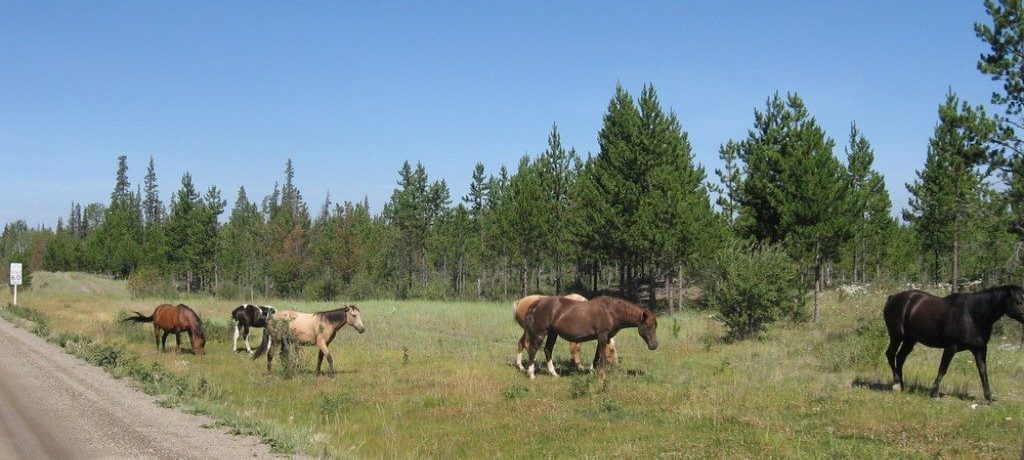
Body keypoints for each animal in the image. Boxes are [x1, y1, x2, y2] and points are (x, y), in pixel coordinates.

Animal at [524, 295, 659, 379]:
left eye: (655, 326)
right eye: (648, 326)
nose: (654, 345)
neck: (611, 312)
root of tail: (537, 303)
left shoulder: (603, 338)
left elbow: (596, 357)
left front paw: (592, 372)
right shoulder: (602, 336)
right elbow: (602, 357)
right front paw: (602, 377)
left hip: (553, 333)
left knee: (548, 350)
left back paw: (554, 374)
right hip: (541, 332)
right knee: (533, 350)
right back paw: (531, 374)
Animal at [880, 284, 1024, 399]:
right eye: (1018, 301)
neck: (972, 315)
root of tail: (892, 298)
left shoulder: (980, 349)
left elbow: (983, 372)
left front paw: (988, 397)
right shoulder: (951, 347)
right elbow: (943, 369)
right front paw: (934, 393)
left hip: (910, 339)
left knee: (900, 358)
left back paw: (902, 386)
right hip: (896, 336)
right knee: (890, 354)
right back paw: (896, 384)